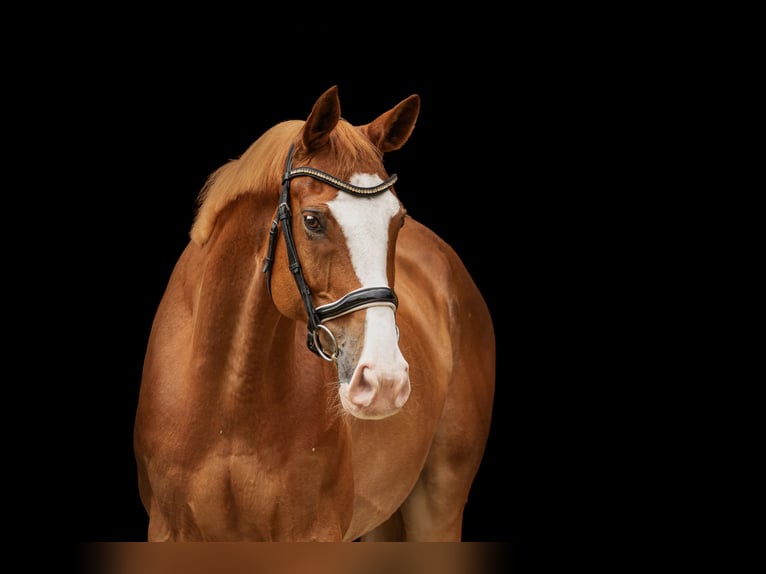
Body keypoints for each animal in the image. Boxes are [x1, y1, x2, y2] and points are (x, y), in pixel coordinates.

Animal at [135, 85, 498, 544]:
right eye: (312, 220)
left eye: (397, 221)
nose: (385, 380)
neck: (228, 401)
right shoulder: (168, 531)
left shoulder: (314, 534)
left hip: (438, 506)